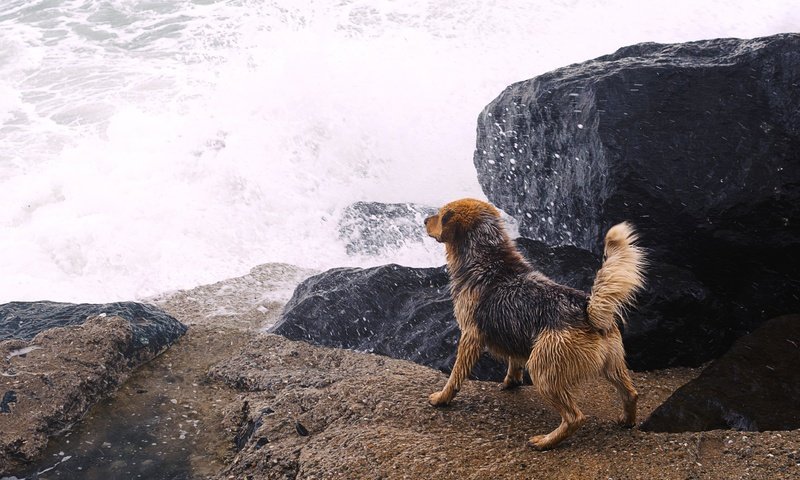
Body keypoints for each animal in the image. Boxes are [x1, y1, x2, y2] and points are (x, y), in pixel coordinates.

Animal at [424, 198, 644, 450]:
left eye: (441, 215)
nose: (424, 220)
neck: (486, 256)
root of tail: (588, 310)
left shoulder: (470, 336)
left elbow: (456, 374)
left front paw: (442, 398)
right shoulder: (513, 332)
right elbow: (514, 361)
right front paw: (511, 382)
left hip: (543, 369)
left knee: (575, 417)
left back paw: (546, 441)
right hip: (613, 364)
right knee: (631, 393)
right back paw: (626, 420)